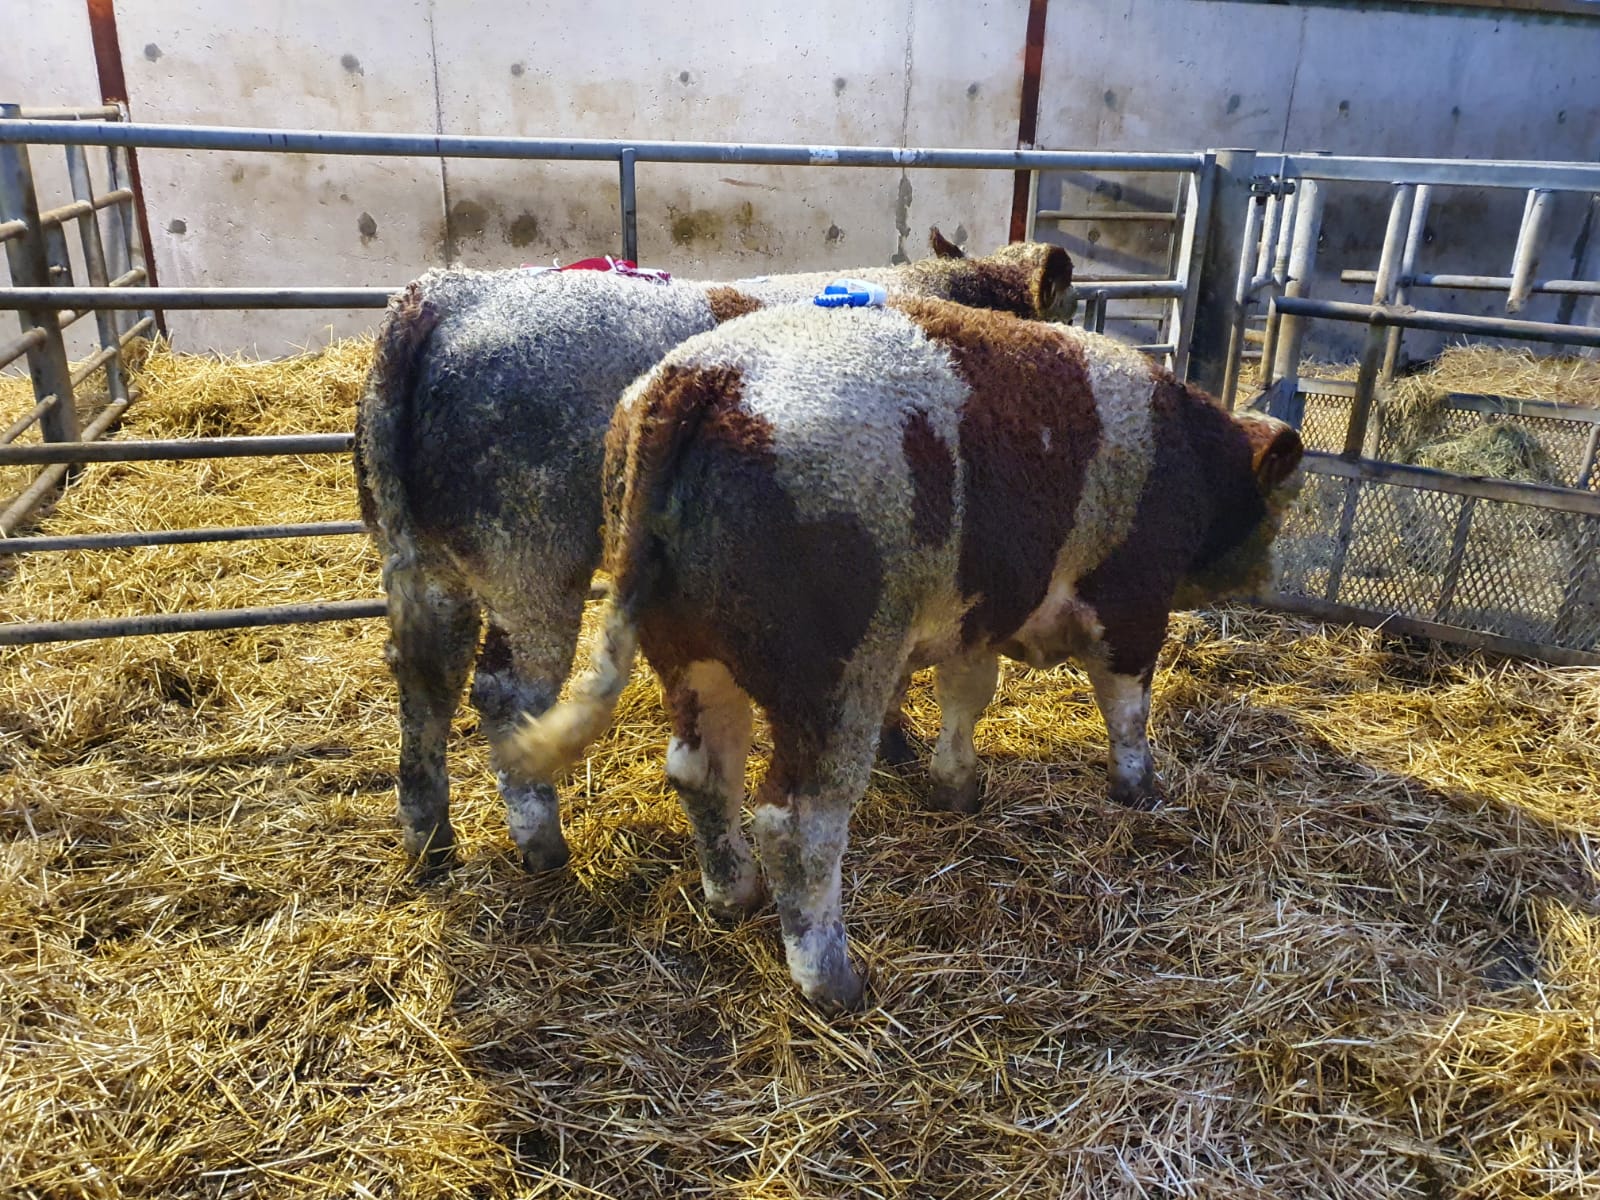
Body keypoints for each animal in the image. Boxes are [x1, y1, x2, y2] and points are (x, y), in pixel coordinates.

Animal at [354, 232, 1074, 875]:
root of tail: (443, 296)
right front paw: (901, 748)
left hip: (424, 558)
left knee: (425, 674)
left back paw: (429, 839)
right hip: (529, 560)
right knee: (505, 691)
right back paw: (543, 847)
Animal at [501, 297, 1305, 1011]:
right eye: (1276, 502)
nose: (1267, 579)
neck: (1192, 459)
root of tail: (703, 380)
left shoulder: (974, 613)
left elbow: (967, 694)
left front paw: (956, 787)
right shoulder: (1131, 603)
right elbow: (1127, 708)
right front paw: (1139, 789)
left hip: (687, 653)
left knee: (702, 772)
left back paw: (734, 896)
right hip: (836, 677)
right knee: (798, 822)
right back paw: (835, 983)